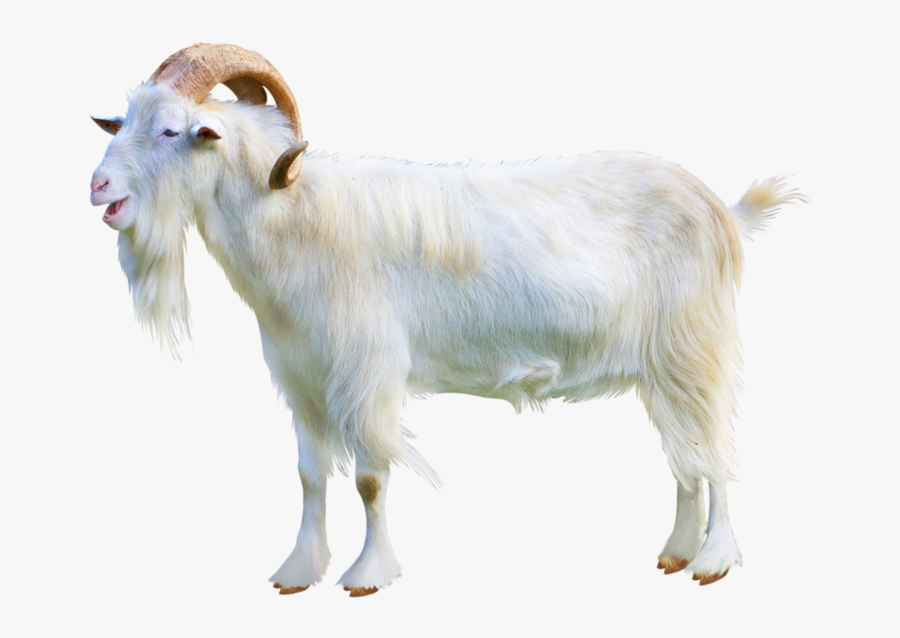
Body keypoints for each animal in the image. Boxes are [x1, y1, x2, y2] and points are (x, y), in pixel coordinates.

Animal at [89, 43, 805, 596]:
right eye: (120, 122)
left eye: (174, 130)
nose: (98, 187)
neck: (294, 215)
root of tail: (722, 209)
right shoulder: (304, 382)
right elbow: (311, 476)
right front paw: (296, 572)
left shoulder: (368, 374)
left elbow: (372, 479)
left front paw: (367, 576)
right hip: (662, 368)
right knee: (684, 457)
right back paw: (676, 554)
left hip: (696, 349)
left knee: (712, 453)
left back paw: (713, 561)